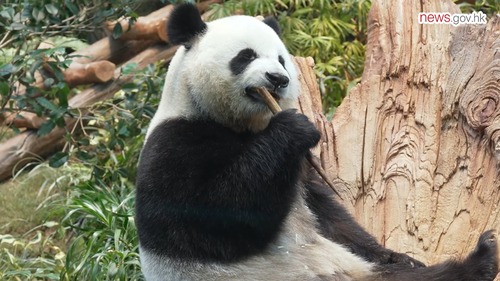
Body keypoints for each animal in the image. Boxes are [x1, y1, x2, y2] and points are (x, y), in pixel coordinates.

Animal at [135, 3, 498, 278]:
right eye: (246, 56)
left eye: (281, 59)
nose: (278, 79)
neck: (242, 125)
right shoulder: (177, 142)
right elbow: (214, 219)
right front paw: (294, 128)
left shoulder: (298, 173)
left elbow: (330, 215)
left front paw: (397, 254)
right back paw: (480, 260)